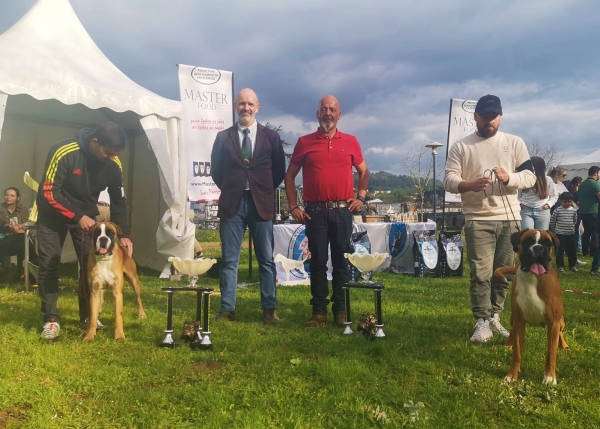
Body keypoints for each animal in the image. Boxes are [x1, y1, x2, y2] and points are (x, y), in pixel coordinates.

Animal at [494, 228, 568, 384]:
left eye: (548, 244)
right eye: (527, 241)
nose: (538, 248)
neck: (533, 277)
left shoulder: (553, 323)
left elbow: (551, 353)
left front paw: (549, 377)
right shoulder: (519, 322)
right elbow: (517, 353)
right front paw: (512, 375)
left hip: (561, 321)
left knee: (560, 333)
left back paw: (563, 345)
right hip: (512, 319)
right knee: (512, 332)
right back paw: (508, 344)